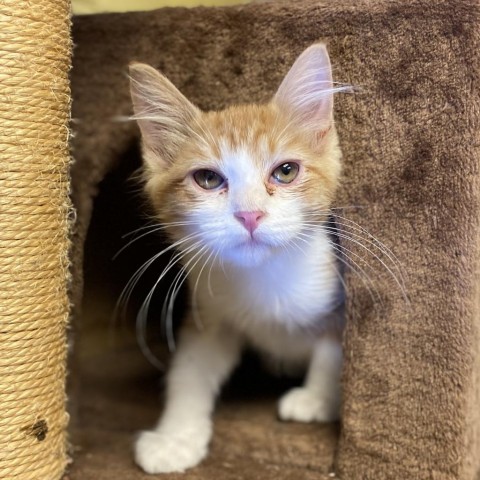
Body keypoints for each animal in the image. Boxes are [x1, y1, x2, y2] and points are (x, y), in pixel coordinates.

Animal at [127, 44, 344, 472]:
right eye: (208, 179)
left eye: (286, 171)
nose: (249, 214)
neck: (265, 280)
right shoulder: (210, 309)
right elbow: (190, 369)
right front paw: (175, 438)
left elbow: (335, 348)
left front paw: (316, 397)